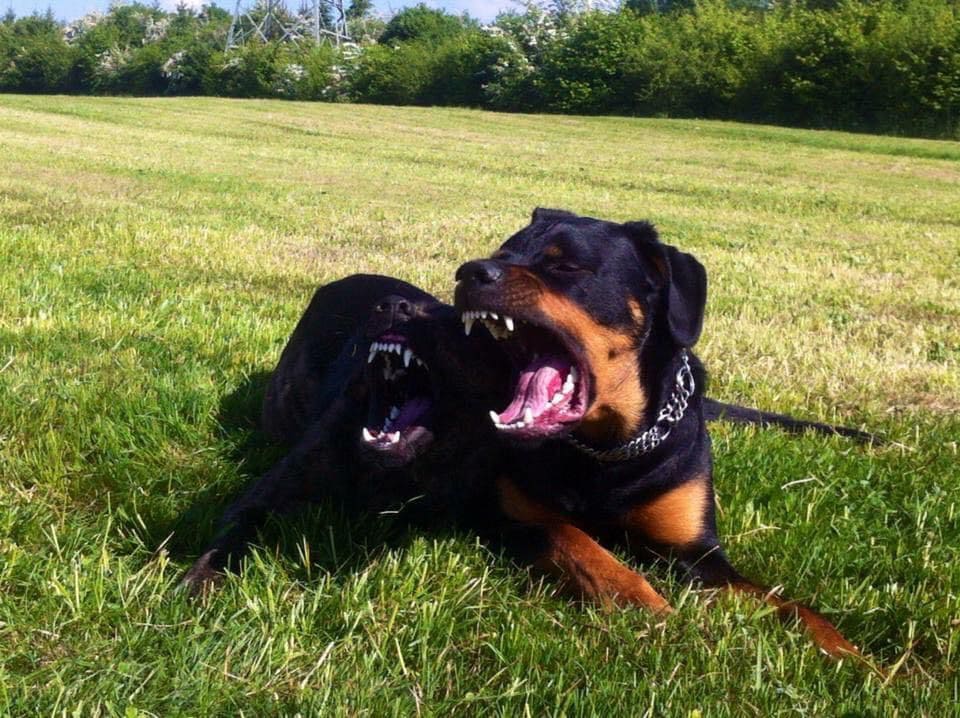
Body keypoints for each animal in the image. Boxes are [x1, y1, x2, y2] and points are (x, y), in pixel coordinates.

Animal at [454, 208, 868, 660]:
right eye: (502, 254)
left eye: (565, 266)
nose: (469, 272)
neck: (608, 448)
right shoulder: (501, 514)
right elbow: (572, 539)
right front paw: (640, 603)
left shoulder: (700, 555)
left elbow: (786, 604)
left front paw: (854, 658)